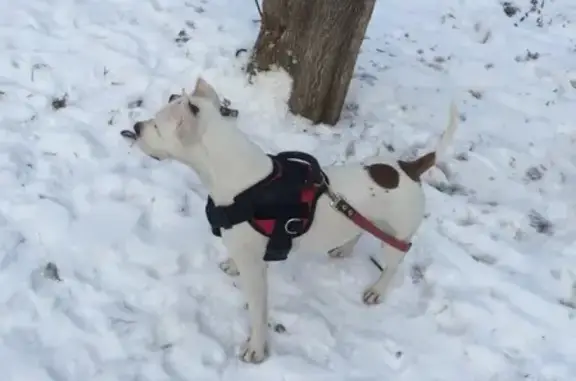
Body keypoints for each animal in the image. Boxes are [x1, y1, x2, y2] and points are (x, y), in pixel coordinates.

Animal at [121, 76, 460, 362]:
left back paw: (377, 289)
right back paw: (344, 248)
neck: (239, 180)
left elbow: (258, 313)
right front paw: (230, 265)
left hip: (397, 237)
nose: (135, 126)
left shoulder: (256, 273)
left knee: (393, 263)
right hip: (364, 217)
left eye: (157, 126)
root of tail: (410, 167)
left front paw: (256, 349)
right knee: (359, 230)